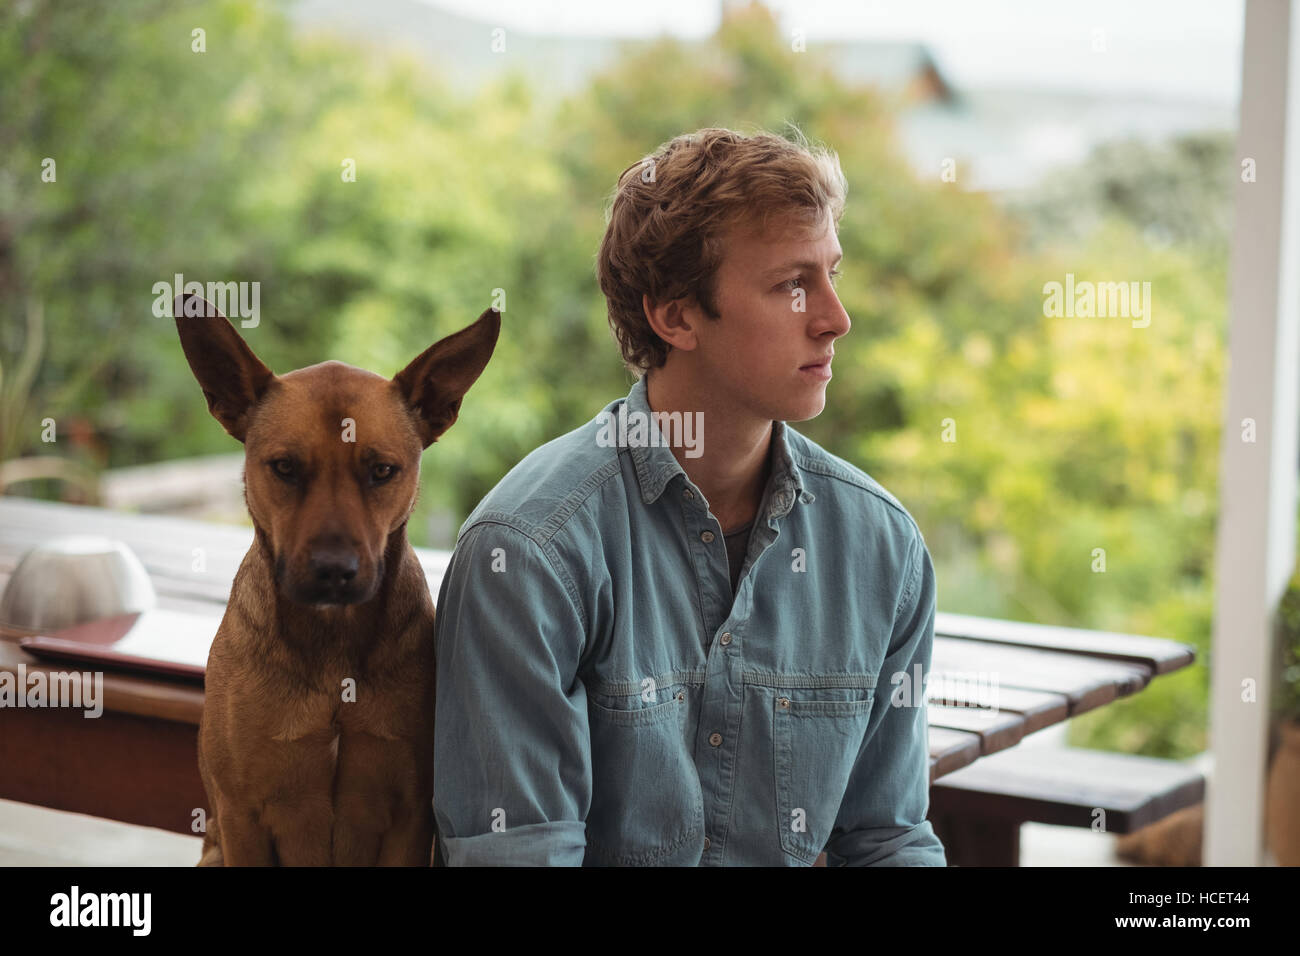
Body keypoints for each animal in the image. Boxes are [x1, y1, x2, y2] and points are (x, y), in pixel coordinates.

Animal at [172, 293, 496, 868]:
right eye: (284, 467)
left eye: (382, 470)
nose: (334, 571)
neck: (332, 644)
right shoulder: (241, 816)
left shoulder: (411, 816)